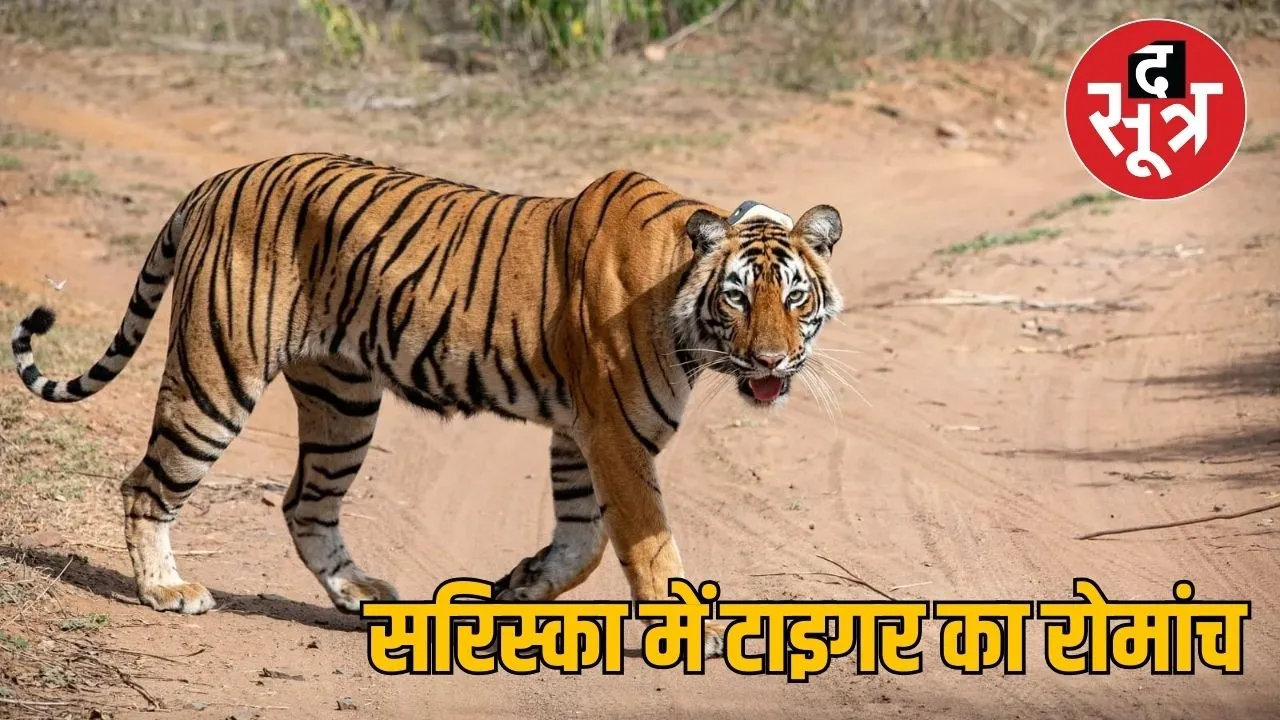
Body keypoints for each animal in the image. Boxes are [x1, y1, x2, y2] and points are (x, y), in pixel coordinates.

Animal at [10, 152, 844, 657]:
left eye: (795, 297)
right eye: (737, 297)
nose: (772, 361)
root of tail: (218, 180)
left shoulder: (582, 434)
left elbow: (584, 540)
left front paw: (518, 586)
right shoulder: (614, 434)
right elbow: (647, 545)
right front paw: (691, 632)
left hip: (343, 399)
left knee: (305, 502)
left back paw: (359, 594)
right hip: (217, 376)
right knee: (146, 484)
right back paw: (166, 590)